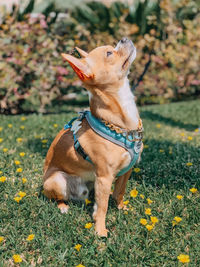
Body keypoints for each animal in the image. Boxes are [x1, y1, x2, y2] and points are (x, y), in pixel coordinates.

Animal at [43, 37, 143, 237]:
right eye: (109, 53)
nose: (124, 38)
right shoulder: (104, 177)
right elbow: (103, 206)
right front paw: (100, 230)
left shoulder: (125, 171)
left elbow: (119, 192)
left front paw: (121, 208)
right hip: (57, 180)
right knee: (58, 198)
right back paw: (63, 207)